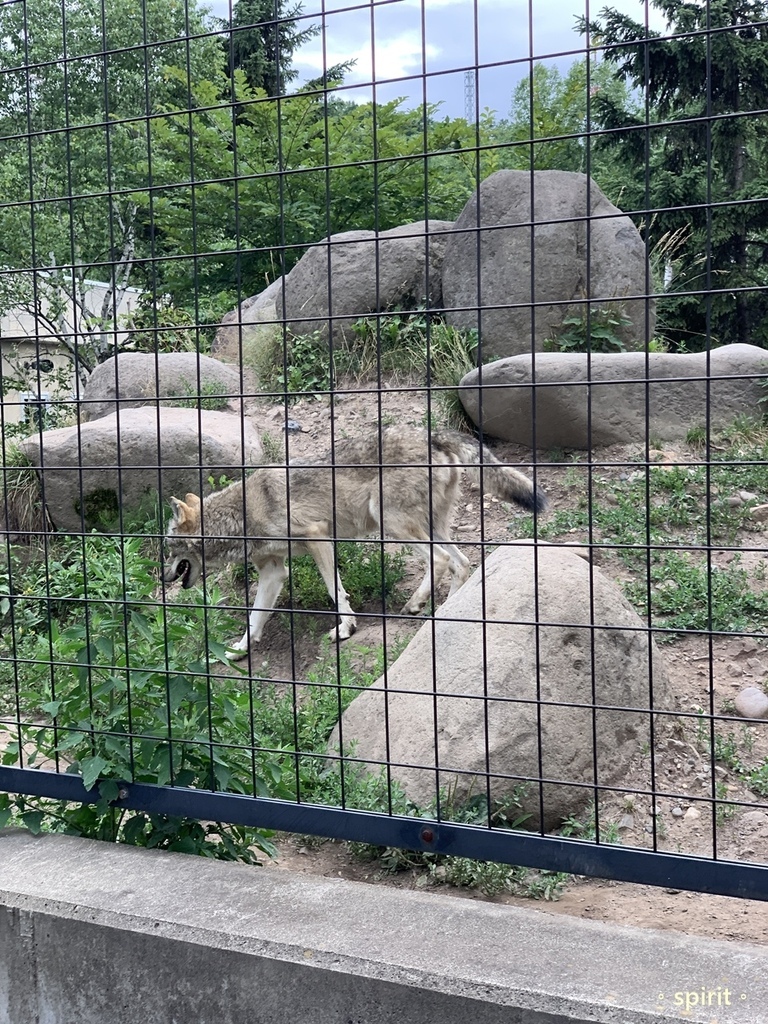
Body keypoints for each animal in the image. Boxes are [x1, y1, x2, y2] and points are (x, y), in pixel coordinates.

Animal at [163, 425, 548, 659]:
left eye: (167, 549)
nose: (163, 577)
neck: (241, 516)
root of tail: (432, 434)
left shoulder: (318, 537)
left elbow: (335, 591)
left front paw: (345, 628)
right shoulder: (273, 572)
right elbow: (255, 618)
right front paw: (237, 651)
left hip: (391, 522)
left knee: (443, 561)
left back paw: (429, 609)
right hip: (429, 527)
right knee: (462, 562)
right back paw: (442, 610)